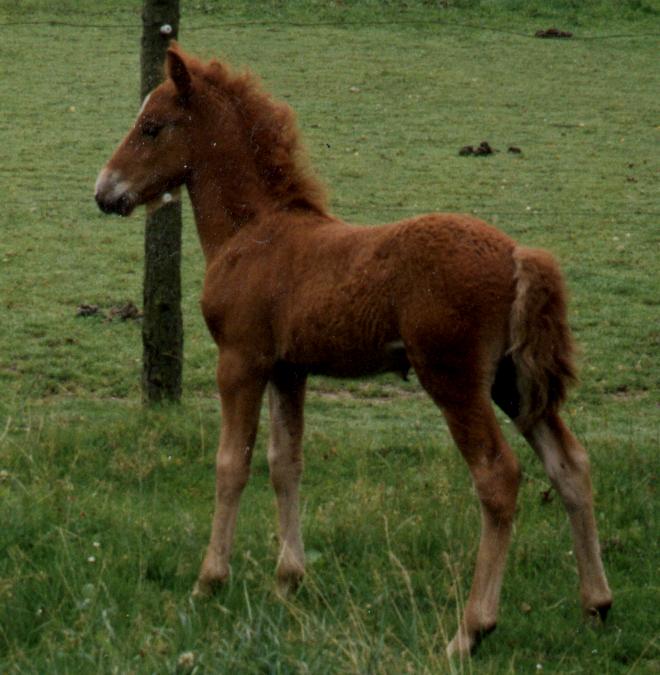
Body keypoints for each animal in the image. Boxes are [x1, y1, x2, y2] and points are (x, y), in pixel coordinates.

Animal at [95, 43, 612, 656]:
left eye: (151, 127)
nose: (104, 191)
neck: (254, 233)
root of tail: (517, 255)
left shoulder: (240, 361)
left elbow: (231, 463)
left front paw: (209, 582)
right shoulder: (289, 369)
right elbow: (285, 462)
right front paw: (288, 581)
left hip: (455, 380)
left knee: (498, 477)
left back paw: (470, 629)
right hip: (513, 383)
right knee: (570, 464)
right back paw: (596, 605)